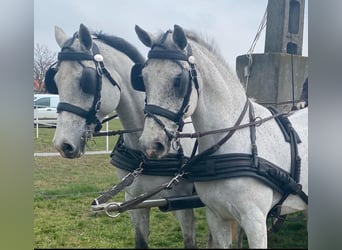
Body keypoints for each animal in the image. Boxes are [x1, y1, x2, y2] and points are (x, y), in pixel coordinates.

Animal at [46, 23, 199, 248]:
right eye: (55, 80)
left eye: (86, 81)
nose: (62, 144)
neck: (144, 155)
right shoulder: (134, 200)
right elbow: (140, 240)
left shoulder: (183, 204)